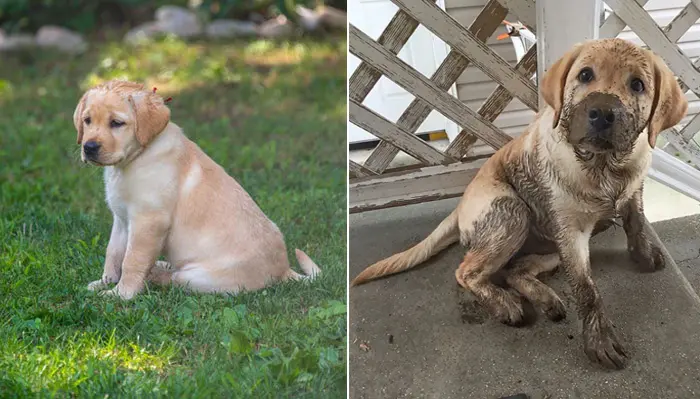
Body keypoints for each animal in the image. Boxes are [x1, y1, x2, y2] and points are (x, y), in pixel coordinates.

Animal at [73, 80, 320, 300]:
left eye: (116, 123)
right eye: (87, 121)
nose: (89, 147)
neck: (134, 159)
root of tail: (284, 269)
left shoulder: (149, 220)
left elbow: (132, 259)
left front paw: (121, 294)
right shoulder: (122, 219)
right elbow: (114, 252)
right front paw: (105, 281)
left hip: (200, 277)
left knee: (174, 279)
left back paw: (155, 274)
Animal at [352, 39, 688, 370]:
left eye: (637, 84)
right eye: (585, 75)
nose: (603, 113)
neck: (605, 166)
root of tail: (459, 208)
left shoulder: (633, 191)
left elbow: (636, 222)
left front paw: (643, 254)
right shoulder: (572, 233)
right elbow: (586, 289)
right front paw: (600, 340)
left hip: (553, 244)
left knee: (515, 270)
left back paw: (545, 299)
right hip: (513, 213)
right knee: (467, 272)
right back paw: (505, 304)